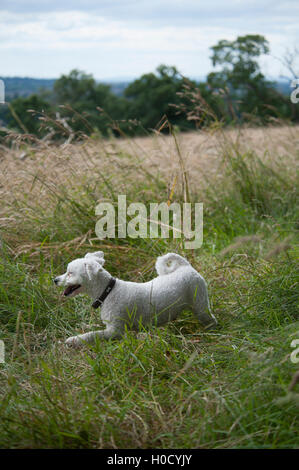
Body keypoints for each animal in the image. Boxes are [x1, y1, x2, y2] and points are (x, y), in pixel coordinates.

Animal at [54, 252, 218, 346]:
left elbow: (93, 335)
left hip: (200, 304)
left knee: (210, 319)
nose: (54, 280)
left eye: (70, 273)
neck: (108, 291)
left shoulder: (115, 331)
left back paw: (212, 333)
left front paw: (75, 340)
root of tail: (185, 266)